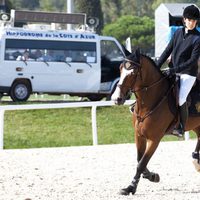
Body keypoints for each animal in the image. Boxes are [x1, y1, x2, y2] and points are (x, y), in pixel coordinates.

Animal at [111, 49, 199, 195]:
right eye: (120, 69)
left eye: (133, 73)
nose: (116, 98)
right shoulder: (139, 135)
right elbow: (140, 160)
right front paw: (152, 176)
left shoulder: (154, 139)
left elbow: (141, 163)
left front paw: (131, 187)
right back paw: (196, 160)